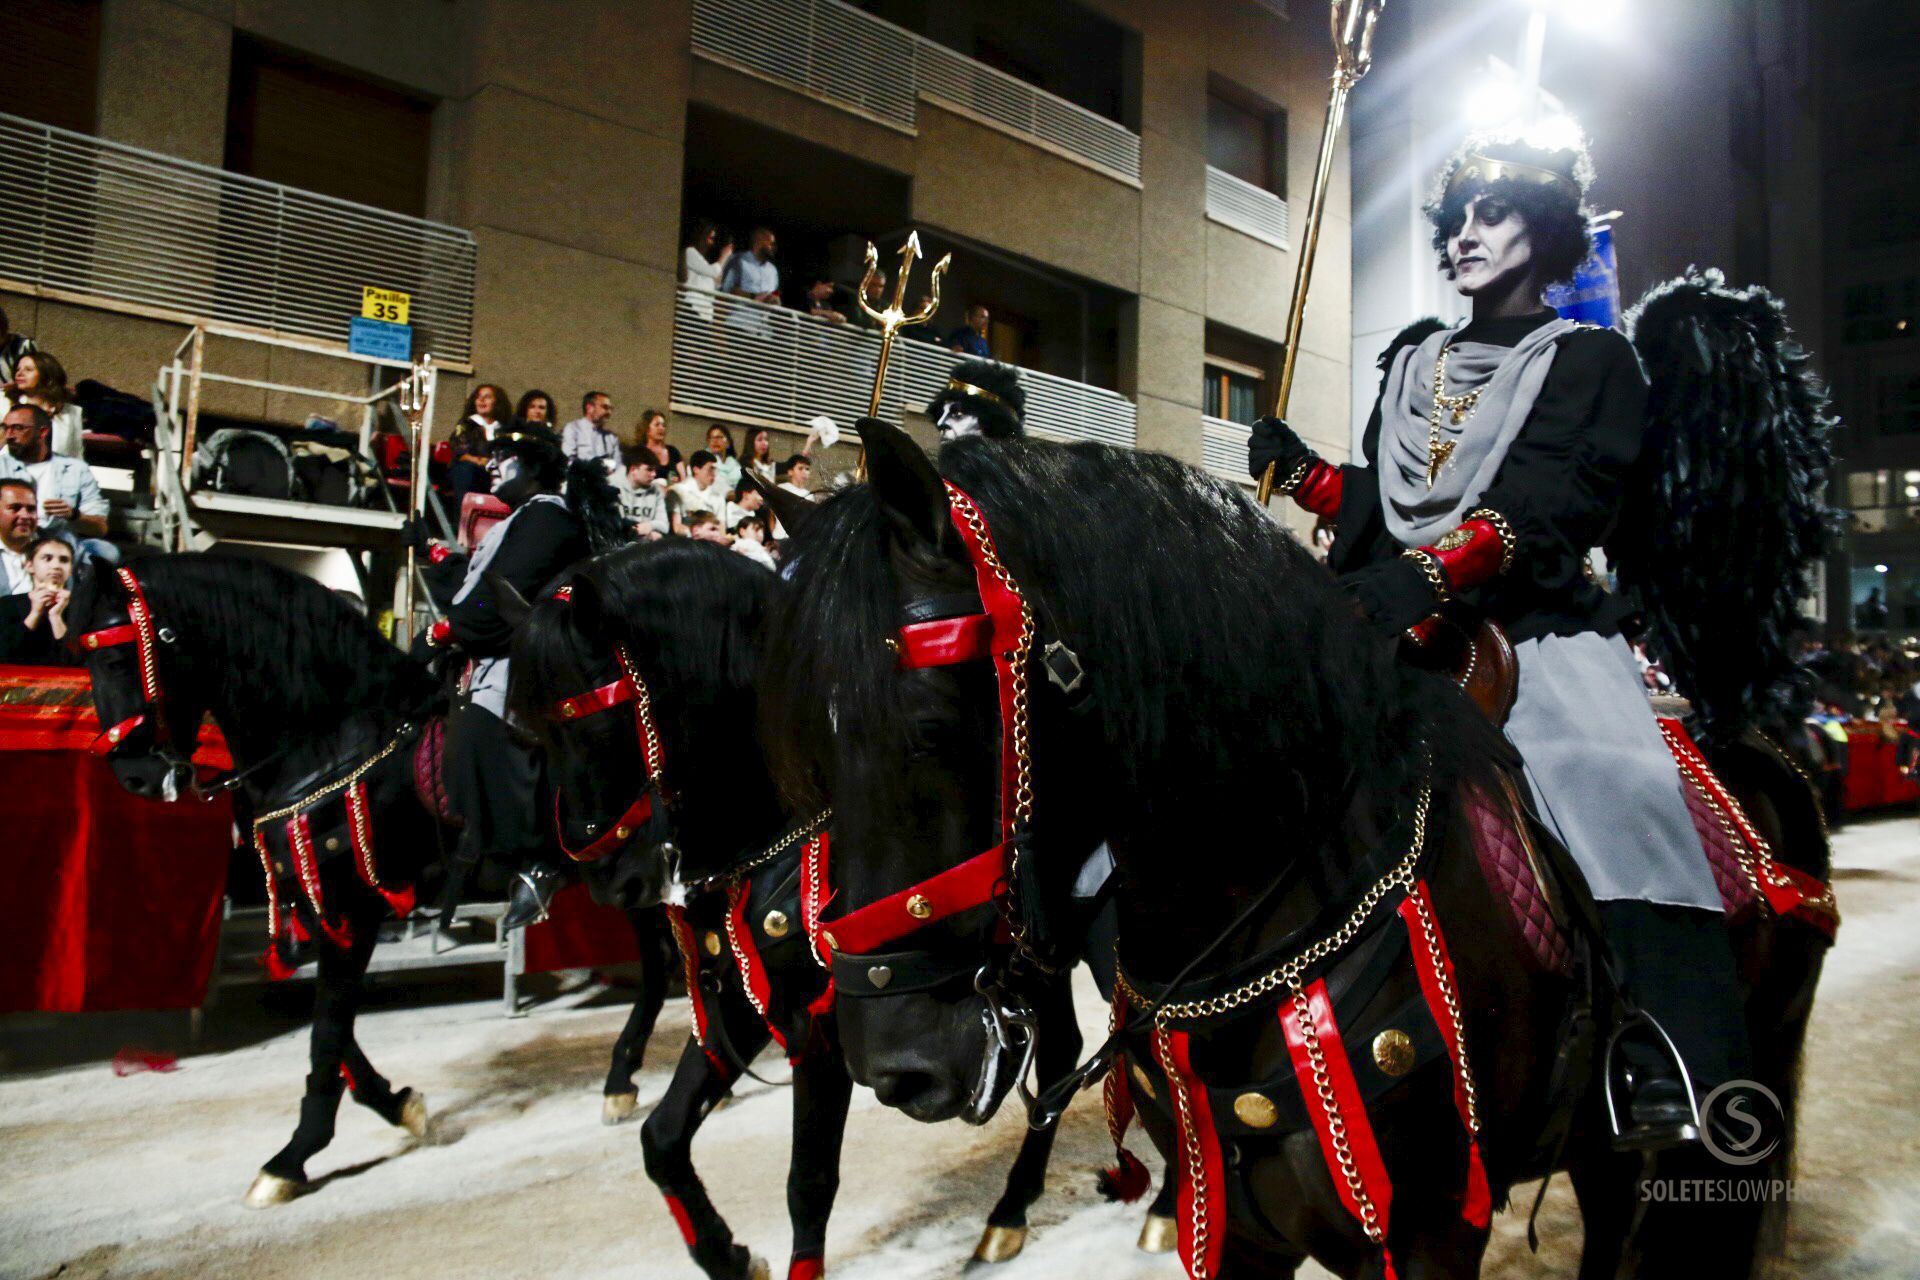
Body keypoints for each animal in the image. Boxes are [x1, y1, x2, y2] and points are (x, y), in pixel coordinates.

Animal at [69, 556, 683, 1205]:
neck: (329, 737)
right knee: (659, 961)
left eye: (118, 658)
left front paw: (292, 1157)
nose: (135, 776)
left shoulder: (353, 909)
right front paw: (398, 1104)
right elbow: (337, 1033)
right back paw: (621, 1078)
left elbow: (326, 1032)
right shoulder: (326, 912)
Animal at [503, 537, 1175, 1274]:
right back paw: (1009, 1214)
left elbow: (808, 1181)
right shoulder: (743, 1002)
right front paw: (726, 1254)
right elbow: (663, 1137)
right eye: (533, 735)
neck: (775, 835)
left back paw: (1165, 1210)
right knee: (1064, 1052)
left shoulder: (821, 1027)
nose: (610, 881)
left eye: (595, 725)